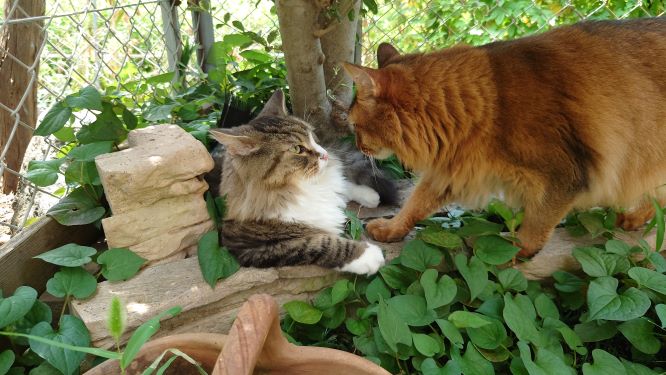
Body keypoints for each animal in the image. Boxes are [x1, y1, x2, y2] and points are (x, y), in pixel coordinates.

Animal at [208, 89, 384, 274]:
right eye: (296, 149)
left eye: (312, 136)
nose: (325, 154)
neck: (298, 188)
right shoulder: (253, 246)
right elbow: (323, 243)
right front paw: (368, 256)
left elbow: (342, 185)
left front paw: (369, 195)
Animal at [342, 18, 664, 258]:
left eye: (355, 126)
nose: (357, 145)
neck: (488, 104)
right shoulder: (455, 168)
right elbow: (416, 202)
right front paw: (393, 228)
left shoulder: (563, 177)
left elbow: (536, 225)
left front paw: (515, 252)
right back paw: (635, 217)